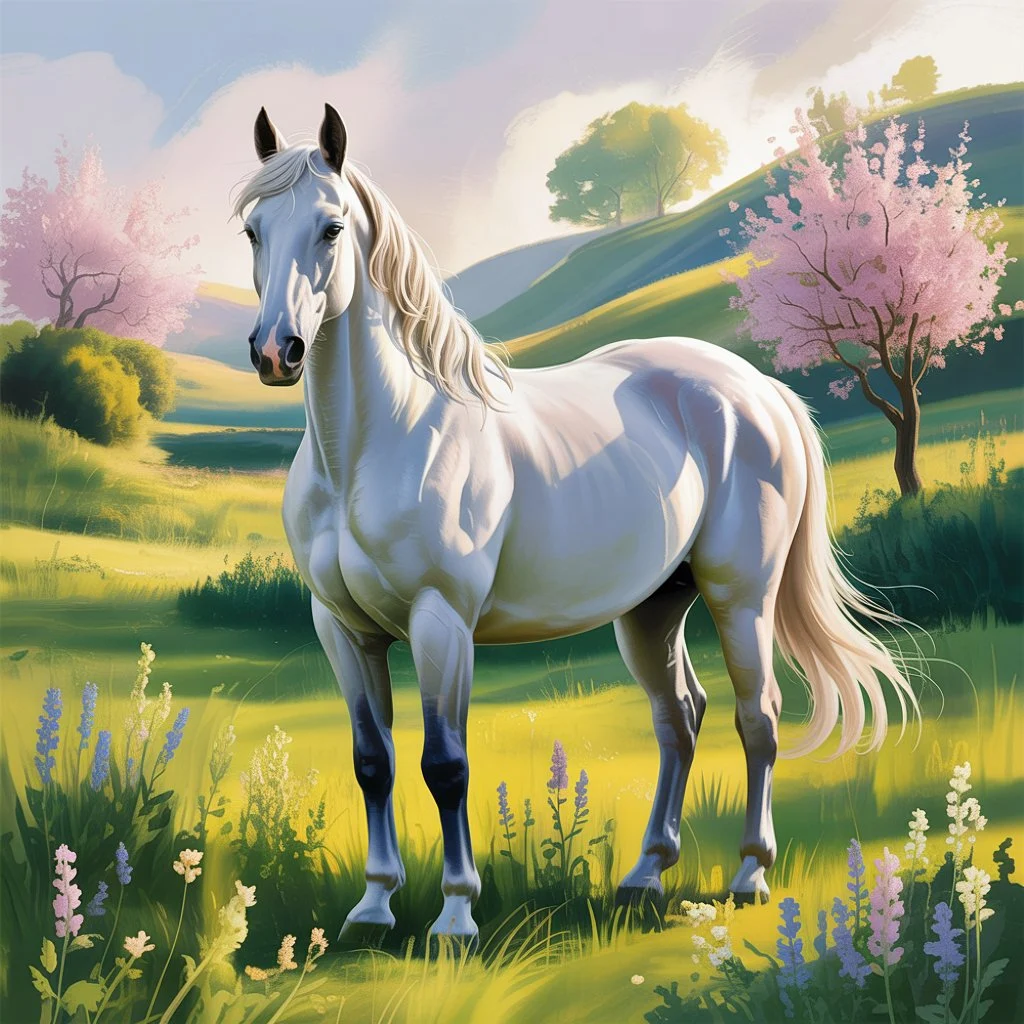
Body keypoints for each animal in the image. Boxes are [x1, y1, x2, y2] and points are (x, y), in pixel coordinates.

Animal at [235, 103, 916, 945]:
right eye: (253, 230)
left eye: (330, 228)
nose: (277, 350)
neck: (372, 444)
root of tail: (758, 389)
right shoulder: (342, 628)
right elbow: (374, 762)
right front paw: (373, 907)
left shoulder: (440, 623)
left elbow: (445, 764)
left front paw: (455, 915)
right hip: (654, 607)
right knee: (678, 718)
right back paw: (644, 876)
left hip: (741, 597)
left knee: (756, 717)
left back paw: (750, 877)